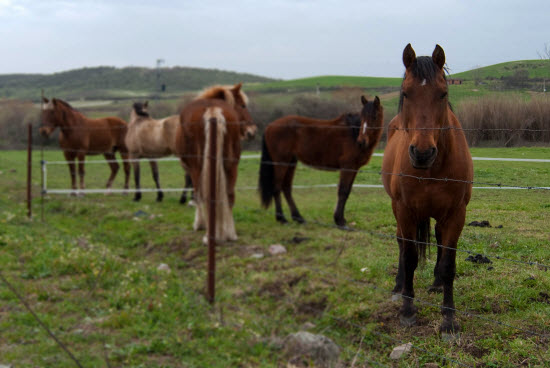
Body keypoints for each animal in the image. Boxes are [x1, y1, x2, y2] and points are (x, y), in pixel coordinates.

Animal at [176, 84, 256, 243]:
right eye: (242, 105)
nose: (252, 131)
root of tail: (213, 109)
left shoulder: (192, 169)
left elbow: (197, 195)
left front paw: (199, 223)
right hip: (232, 164)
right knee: (230, 195)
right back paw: (230, 234)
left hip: (197, 166)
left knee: (203, 194)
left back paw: (209, 234)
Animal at [260, 95, 384, 227]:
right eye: (362, 116)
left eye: (374, 116)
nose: (361, 141)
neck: (352, 133)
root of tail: (269, 126)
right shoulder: (347, 167)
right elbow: (343, 191)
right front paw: (339, 221)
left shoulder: (354, 168)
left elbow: (347, 192)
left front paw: (341, 219)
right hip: (281, 163)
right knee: (277, 187)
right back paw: (282, 218)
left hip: (291, 162)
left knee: (286, 188)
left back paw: (298, 218)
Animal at [384, 43, 474, 334]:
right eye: (405, 93)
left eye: (443, 93)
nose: (422, 153)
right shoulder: (405, 211)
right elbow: (410, 257)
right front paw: (407, 310)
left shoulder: (456, 214)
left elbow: (448, 263)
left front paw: (448, 319)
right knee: (402, 243)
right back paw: (398, 286)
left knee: (437, 238)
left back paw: (435, 284)